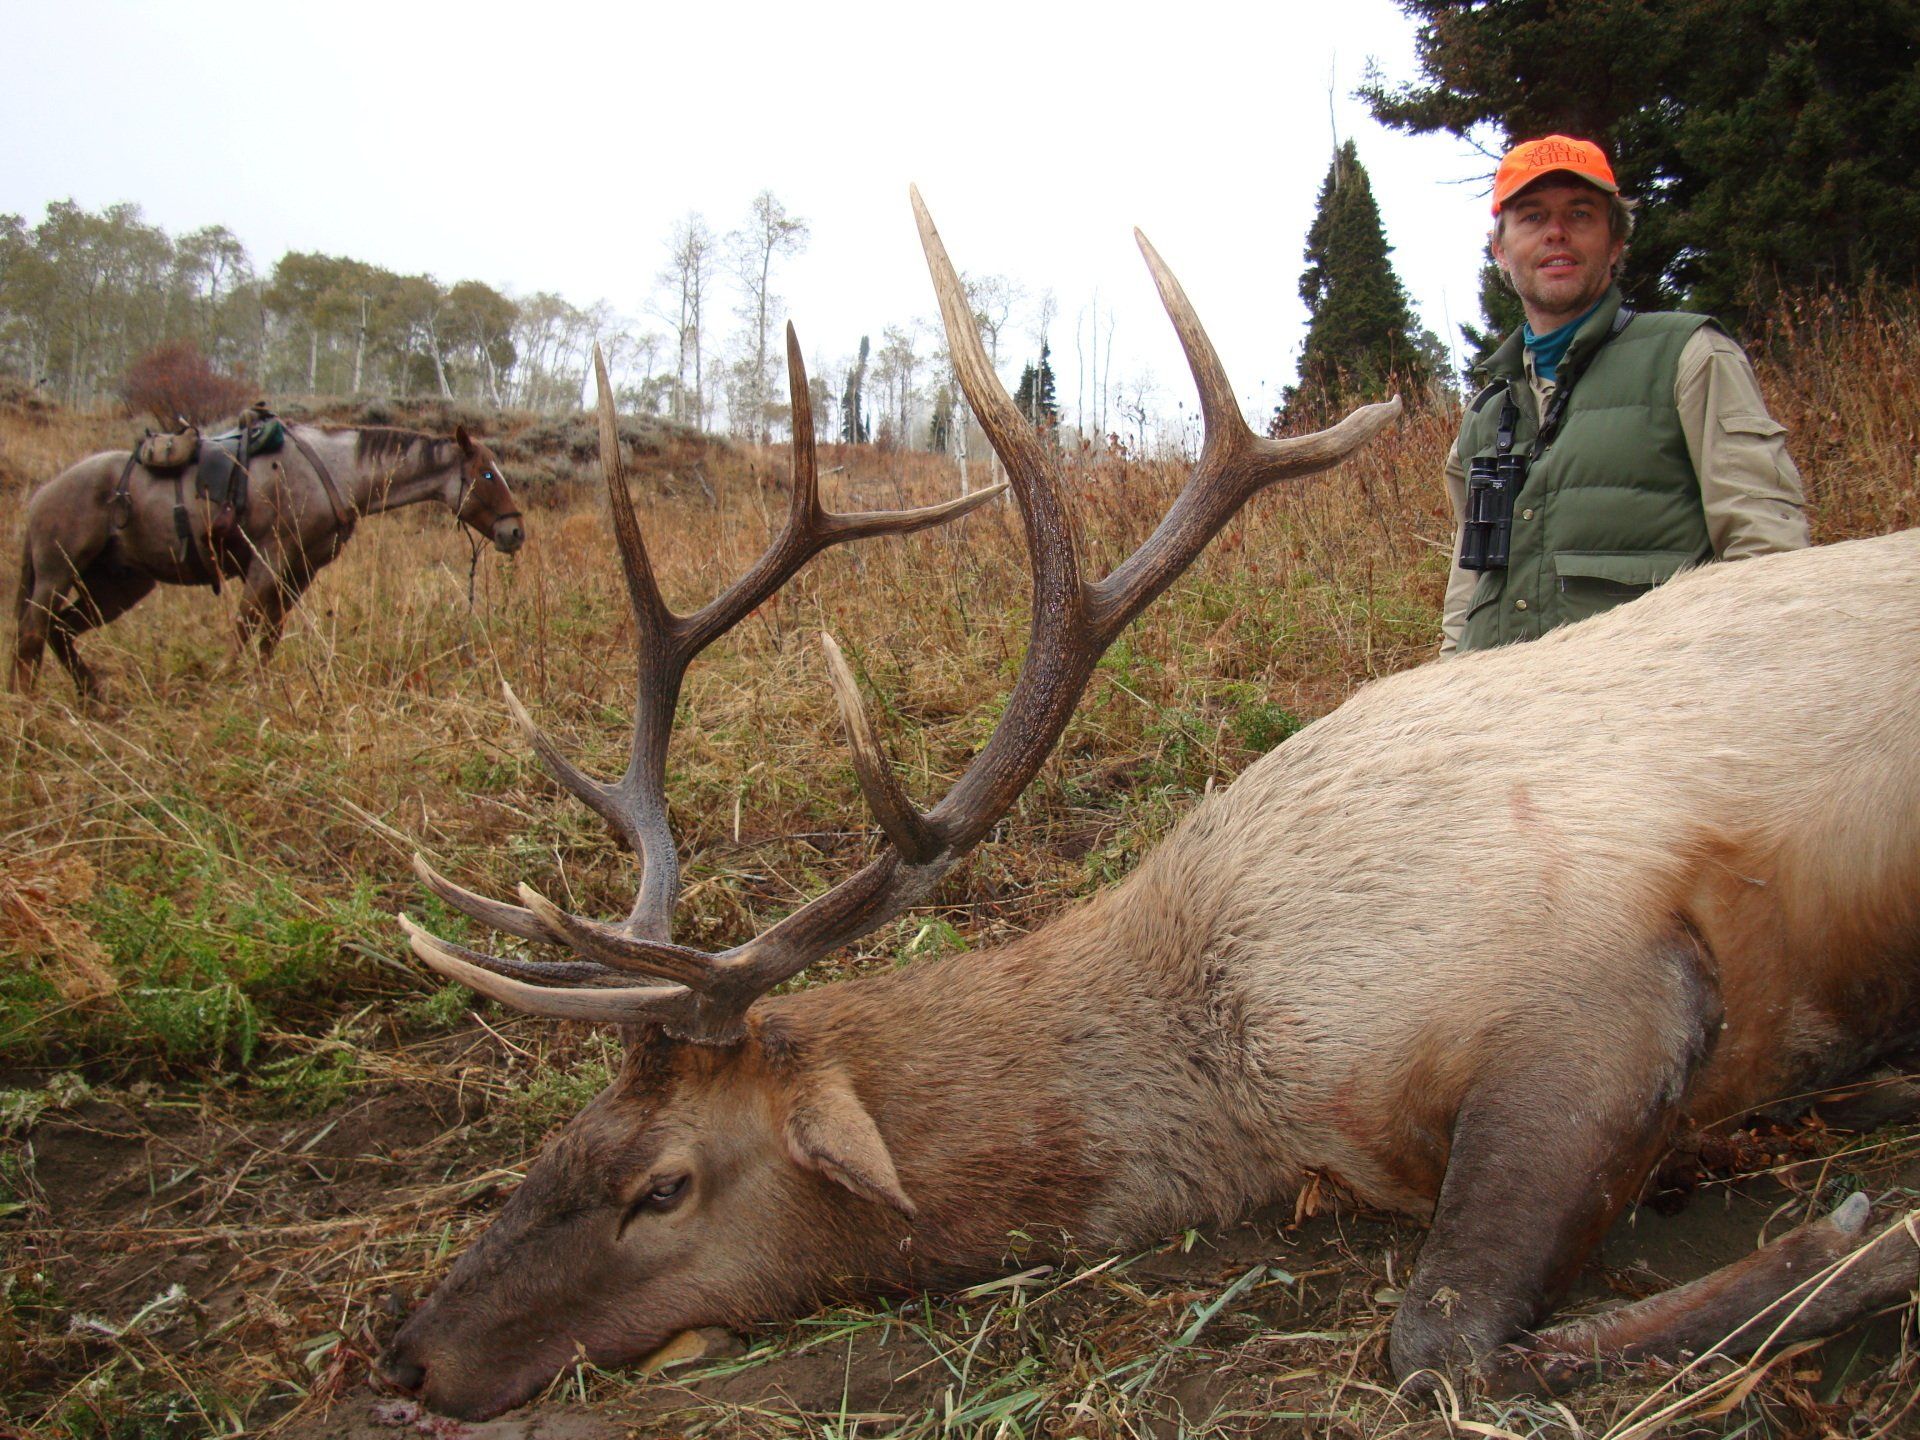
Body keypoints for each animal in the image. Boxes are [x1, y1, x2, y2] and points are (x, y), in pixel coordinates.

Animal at [11, 422, 525, 697]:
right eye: (486, 474)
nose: (515, 531)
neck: (333, 470)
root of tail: (41, 495)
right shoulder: (269, 560)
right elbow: (245, 627)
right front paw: (233, 686)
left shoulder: (300, 571)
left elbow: (269, 634)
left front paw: (259, 686)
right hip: (57, 574)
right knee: (33, 633)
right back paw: (28, 706)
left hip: (120, 584)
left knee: (60, 631)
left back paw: (93, 698)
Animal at [379, 190, 1920, 1421]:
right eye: (563, 1139)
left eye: (663, 1186)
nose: (405, 1354)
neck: (1239, 1077)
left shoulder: (1597, 984)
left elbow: (1440, 1342)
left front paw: (1859, 1242)